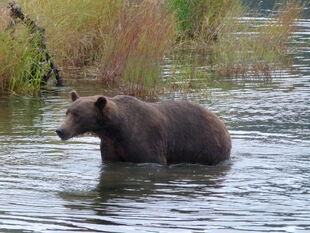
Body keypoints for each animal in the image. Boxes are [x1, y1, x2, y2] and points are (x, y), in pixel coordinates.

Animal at [55, 91, 231, 166]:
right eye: (67, 112)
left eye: (77, 115)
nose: (60, 130)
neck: (115, 130)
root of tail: (222, 124)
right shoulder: (110, 145)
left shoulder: (145, 140)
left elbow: (152, 159)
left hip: (206, 145)